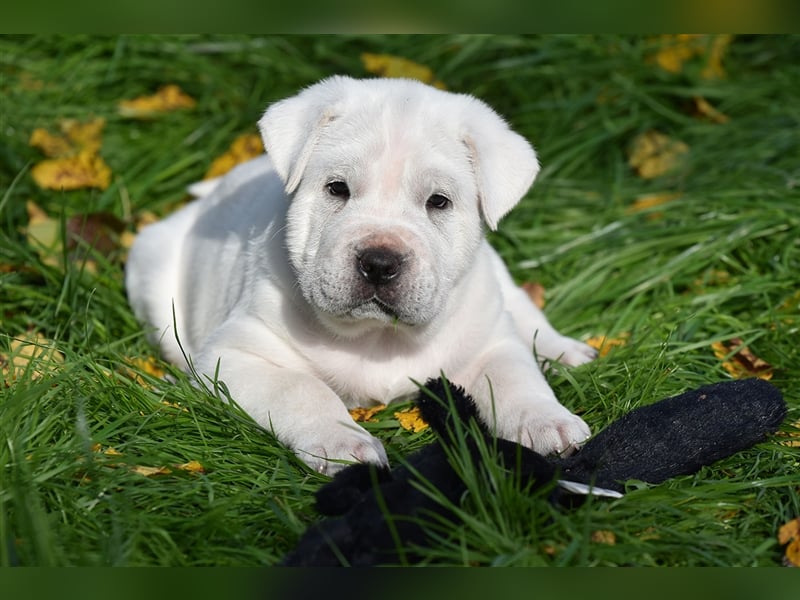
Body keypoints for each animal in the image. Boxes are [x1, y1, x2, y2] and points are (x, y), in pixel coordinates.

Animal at [125, 76, 596, 474]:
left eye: (439, 202)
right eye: (337, 189)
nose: (380, 262)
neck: (379, 338)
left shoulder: (488, 343)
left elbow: (515, 377)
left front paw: (547, 421)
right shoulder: (238, 356)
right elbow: (303, 389)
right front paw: (343, 443)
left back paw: (566, 351)